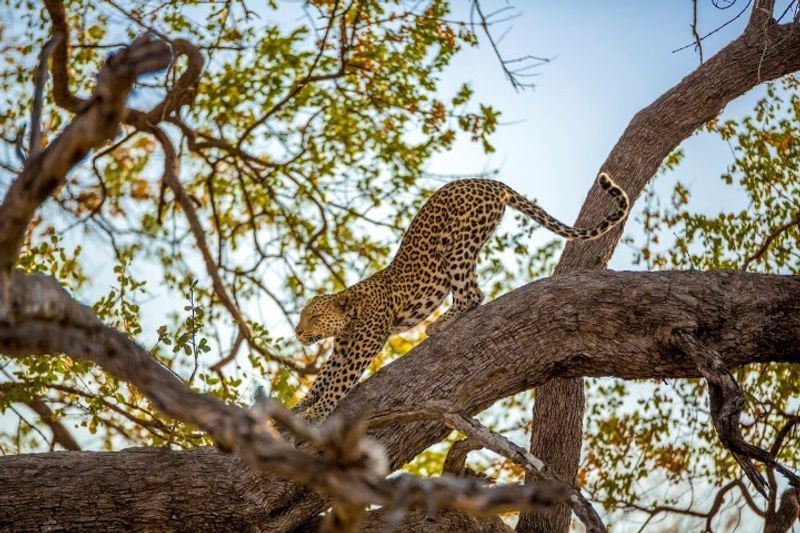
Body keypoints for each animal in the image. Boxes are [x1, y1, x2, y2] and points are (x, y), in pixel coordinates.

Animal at [293, 173, 629, 422]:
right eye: (302, 316)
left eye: (314, 316)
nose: (297, 332)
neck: (349, 313)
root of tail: (488, 182)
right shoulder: (341, 350)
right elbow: (322, 379)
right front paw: (298, 406)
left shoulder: (363, 346)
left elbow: (338, 383)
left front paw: (316, 413)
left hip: (458, 245)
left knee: (472, 293)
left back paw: (440, 324)